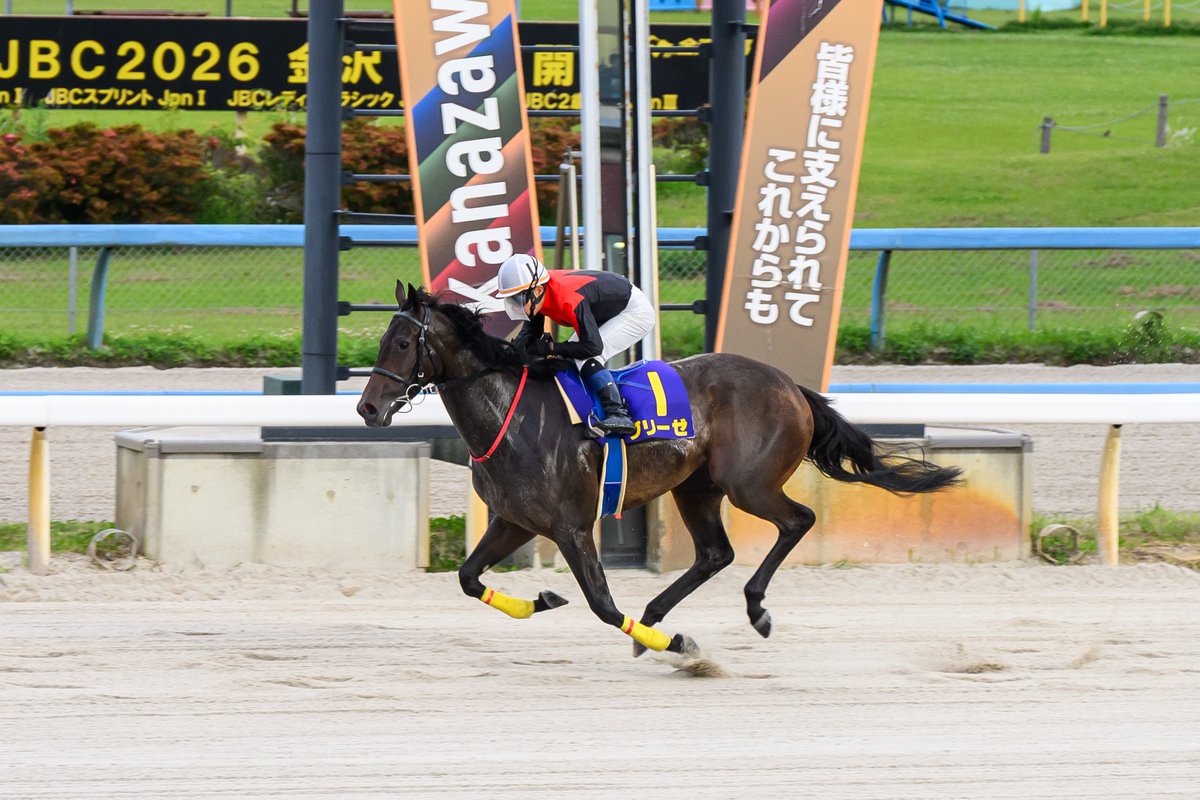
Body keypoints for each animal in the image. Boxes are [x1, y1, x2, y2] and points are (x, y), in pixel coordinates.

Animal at [357, 283, 962, 657]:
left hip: (749, 484)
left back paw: (750, 610)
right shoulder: (514, 521)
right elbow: (467, 577)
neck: (512, 413)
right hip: (697, 487)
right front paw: (546, 599)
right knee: (715, 553)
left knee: (798, 521)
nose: (367, 408)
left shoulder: (571, 527)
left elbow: (603, 606)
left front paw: (679, 647)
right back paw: (655, 615)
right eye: (383, 339)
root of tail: (791, 385)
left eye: (404, 342)